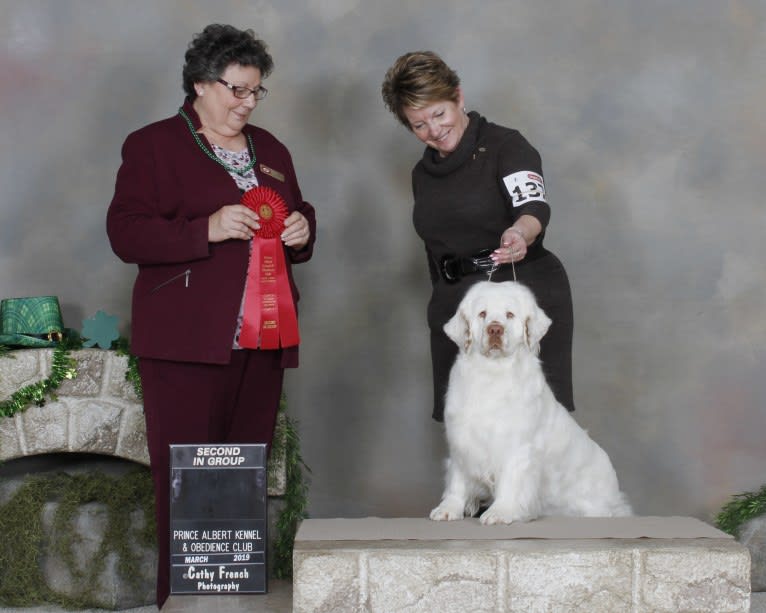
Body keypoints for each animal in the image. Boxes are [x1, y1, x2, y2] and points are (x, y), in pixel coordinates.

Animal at [432, 280, 632, 524]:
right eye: (482, 314)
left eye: (509, 314)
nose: (495, 329)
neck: (492, 374)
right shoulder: (462, 441)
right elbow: (458, 481)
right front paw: (448, 509)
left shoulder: (516, 447)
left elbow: (510, 482)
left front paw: (500, 512)